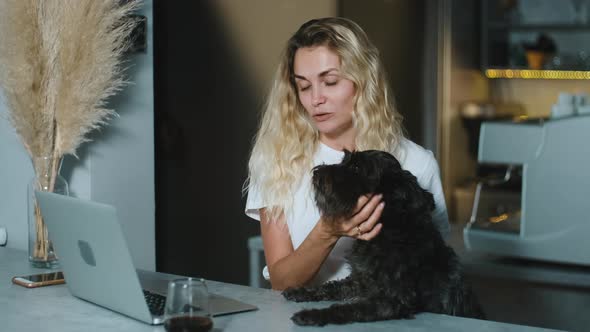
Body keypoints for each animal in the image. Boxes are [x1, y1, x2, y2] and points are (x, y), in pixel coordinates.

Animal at [286, 150, 486, 326]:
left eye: (356, 167)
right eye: (344, 161)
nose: (317, 172)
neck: (389, 231)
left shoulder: (393, 300)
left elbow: (349, 309)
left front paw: (312, 315)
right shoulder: (360, 280)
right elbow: (331, 287)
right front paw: (302, 291)